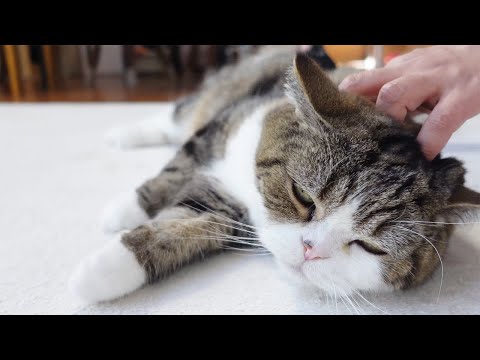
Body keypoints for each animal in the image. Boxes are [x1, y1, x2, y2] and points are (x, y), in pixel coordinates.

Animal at [69, 46, 480, 302]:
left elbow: (187, 223)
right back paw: (124, 135)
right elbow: (177, 166)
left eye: (372, 247)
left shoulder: (225, 211)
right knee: (177, 117)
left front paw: (101, 272)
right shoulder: (225, 127)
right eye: (303, 196)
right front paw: (125, 211)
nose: (310, 250)